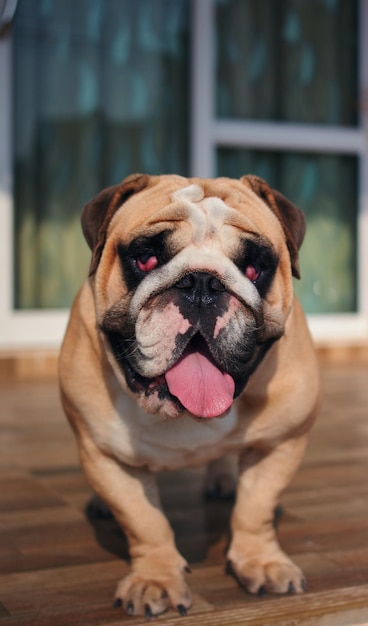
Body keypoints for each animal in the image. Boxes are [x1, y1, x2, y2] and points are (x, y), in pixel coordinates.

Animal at [59, 173, 320, 616]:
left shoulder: (281, 443)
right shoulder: (106, 456)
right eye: (147, 260)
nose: (202, 282)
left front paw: (262, 561)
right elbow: (145, 522)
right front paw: (156, 579)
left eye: (254, 268)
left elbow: (256, 507)